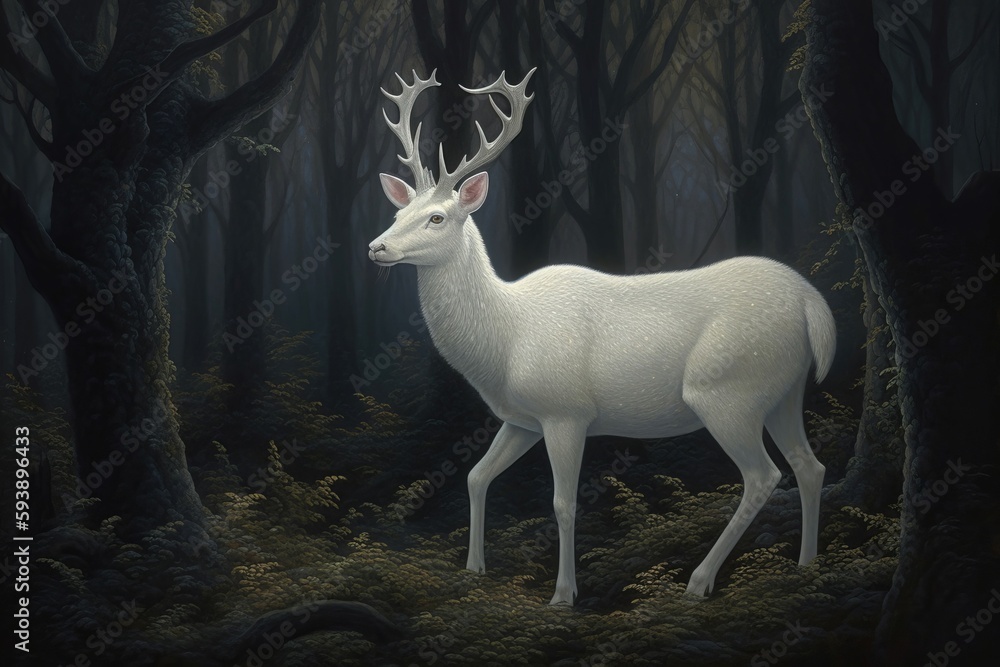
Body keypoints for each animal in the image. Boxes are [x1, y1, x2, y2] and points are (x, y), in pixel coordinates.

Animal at [368, 69, 836, 606]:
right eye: (398, 214)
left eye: (437, 217)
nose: (376, 246)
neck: (504, 343)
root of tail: (813, 305)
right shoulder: (522, 419)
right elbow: (475, 476)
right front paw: (473, 569)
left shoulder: (567, 412)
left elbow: (563, 503)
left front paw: (562, 595)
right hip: (784, 389)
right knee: (809, 466)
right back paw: (805, 565)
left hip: (728, 390)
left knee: (763, 475)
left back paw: (698, 582)